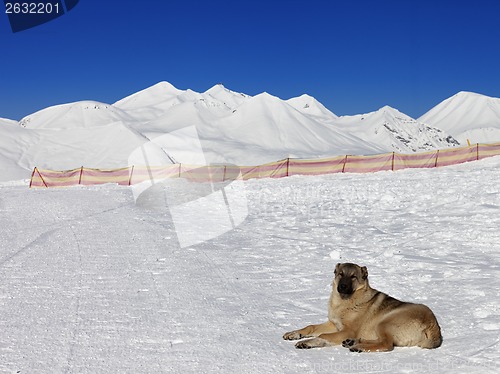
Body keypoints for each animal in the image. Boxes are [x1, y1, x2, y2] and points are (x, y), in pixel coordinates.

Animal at [284, 262, 444, 352]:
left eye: (353, 277)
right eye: (340, 274)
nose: (342, 286)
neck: (344, 302)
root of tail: (434, 326)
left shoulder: (347, 330)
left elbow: (323, 336)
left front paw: (307, 342)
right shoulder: (334, 324)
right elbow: (311, 327)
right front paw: (294, 334)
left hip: (385, 321)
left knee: (386, 344)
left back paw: (357, 346)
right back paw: (353, 342)